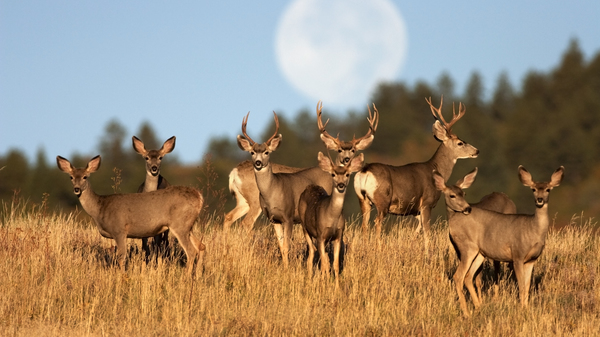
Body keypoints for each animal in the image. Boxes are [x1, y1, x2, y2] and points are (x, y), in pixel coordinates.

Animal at [223, 100, 378, 231]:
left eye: (354, 150)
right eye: (339, 149)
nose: (347, 160)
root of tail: (234, 172)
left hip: (242, 200)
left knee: (228, 216)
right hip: (254, 199)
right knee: (246, 222)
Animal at [298, 151, 364, 280]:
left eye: (347, 174)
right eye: (333, 174)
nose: (341, 185)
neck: (332, 218)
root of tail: (308, 187)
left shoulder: (339, 235)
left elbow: (335, 264)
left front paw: (335, 284)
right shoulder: (320, 235)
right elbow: (324, 263)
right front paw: (325, 283)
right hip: (304, 226)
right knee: (312, 252)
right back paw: (310, 278)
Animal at [352, 96, 478, 235]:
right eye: (460, 143)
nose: (477, 151)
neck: (435, 168)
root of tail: (365, 170)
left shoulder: (415, 210)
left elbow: (418, 230)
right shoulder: (427, 203)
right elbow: (427, 230)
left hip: (362, 199)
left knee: (364, 224)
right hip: (382, 200)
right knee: (377, 222)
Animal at [434, 165, 564, 316]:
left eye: (548, 189)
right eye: (533, 189)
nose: (540, 199)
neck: (533, 230)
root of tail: (453, 220)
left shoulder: (532, 259)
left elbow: (527, 286)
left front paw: (526, 309)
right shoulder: (517, 255)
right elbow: (521, 285)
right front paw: (521, 310)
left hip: (479, 253)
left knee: (468, 276)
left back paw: (478, 307)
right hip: (468, 247)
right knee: (458, 276)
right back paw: (467, 313)